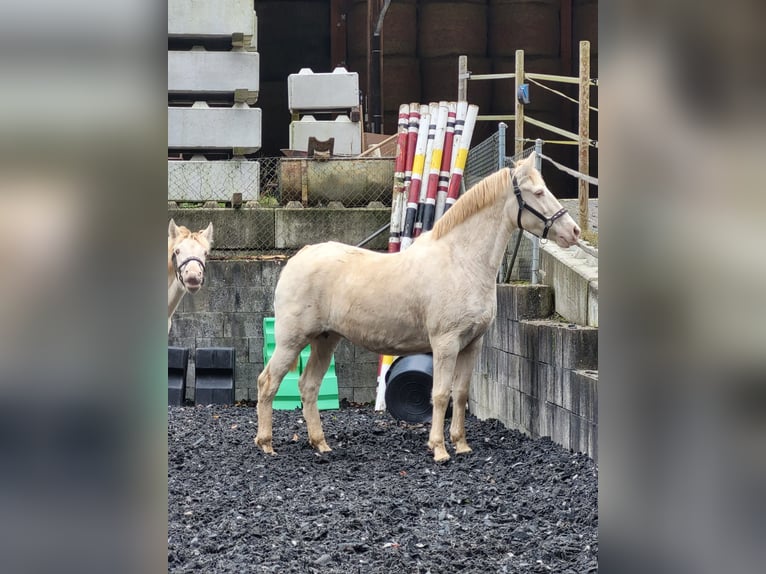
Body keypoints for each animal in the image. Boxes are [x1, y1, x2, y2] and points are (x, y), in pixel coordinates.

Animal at [255, 155, 580, 466]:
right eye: (538, 192)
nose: (574, 231)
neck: (462, 261)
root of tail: (299, 257)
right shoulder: (446, 343)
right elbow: (440, 394)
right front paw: (439, 449)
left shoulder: (472, 344)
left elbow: (460, 394)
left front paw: (461, 445)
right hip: (291, 341)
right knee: (267, 382)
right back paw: (266, 445)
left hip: (325, 340)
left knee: (308, 386)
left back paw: (320, 444)